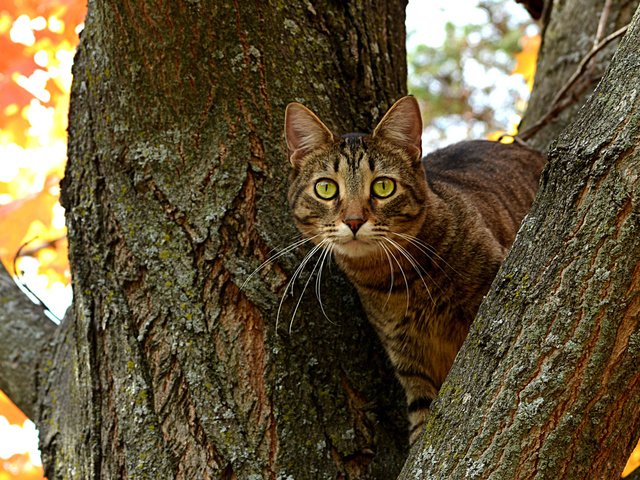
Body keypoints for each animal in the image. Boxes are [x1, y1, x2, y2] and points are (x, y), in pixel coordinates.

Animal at [282, 95, 544, 444]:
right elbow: (423, 421)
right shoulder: (410, 361)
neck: (401, 279)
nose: (353, 220)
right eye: (326, 188)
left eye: (383, 187)